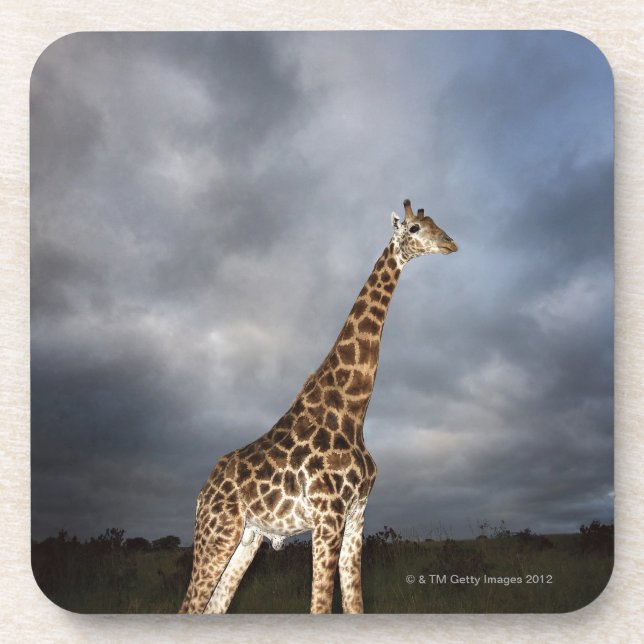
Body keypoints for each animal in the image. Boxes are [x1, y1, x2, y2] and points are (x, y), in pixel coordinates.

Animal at [179, 199, 458, 614]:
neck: (352, 410)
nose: (450, 243)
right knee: (189, 606)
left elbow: (354, 604)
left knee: (214, 606)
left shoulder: (357, 514)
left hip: (248, 537)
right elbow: (320, 606)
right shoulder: (328, 515)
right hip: (218, 530)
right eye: (414, 229)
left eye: (436, 223)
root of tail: (203, 492)